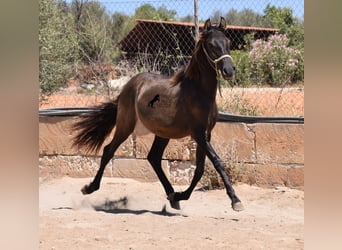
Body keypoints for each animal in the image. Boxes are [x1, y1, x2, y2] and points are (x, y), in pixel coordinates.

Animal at [73, 17, 243, 212]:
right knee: (109, 150)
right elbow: (216, 162)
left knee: (153, 157)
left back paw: (172, 196)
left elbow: (199, 169)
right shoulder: (198, 133)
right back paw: (89, 188)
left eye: (228, 42)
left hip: (163, 133)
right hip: (125, 125)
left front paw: (180, 195)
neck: (198, 92)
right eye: (211, 44)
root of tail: (129, 85)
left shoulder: (206, 134)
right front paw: (235, 200)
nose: (229, 70)